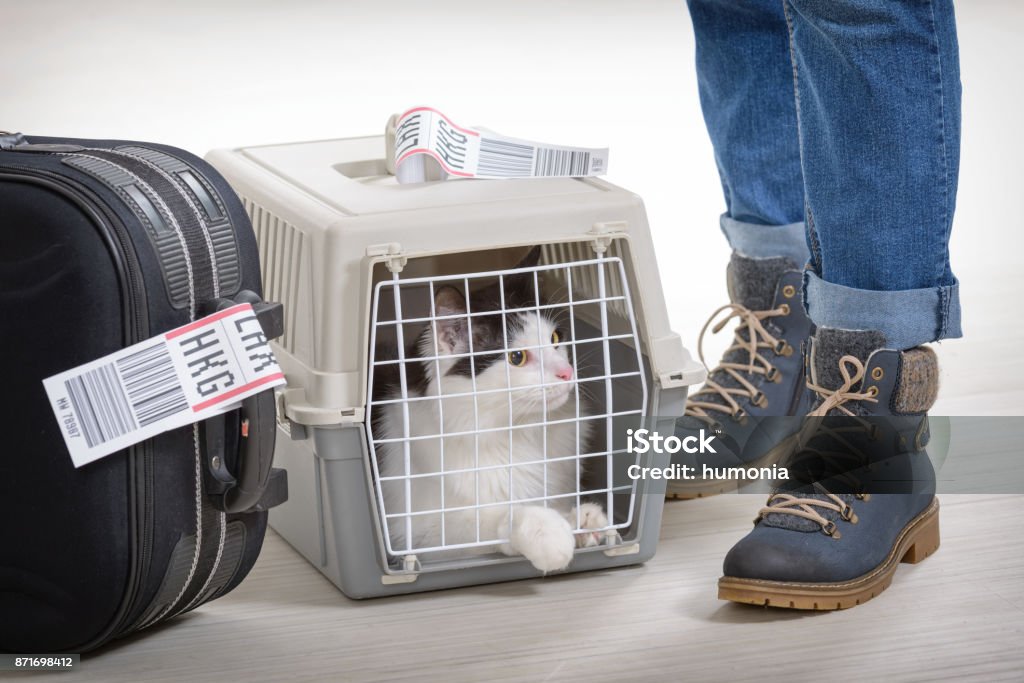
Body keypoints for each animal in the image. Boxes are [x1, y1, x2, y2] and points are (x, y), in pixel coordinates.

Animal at [372, 248, 606, 573]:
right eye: (517, 358)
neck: (518, 432)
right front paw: (550, 533)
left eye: (556, 339)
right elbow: (494, 518)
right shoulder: (415, 535)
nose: (567, 372)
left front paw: (582, 521)